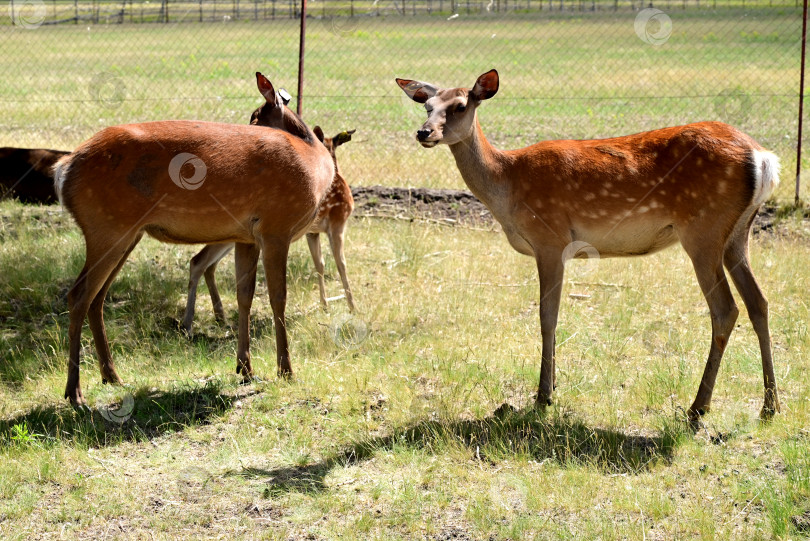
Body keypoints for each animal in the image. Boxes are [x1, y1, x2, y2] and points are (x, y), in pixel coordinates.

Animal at [55, 73, 334, 404]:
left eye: (255, 118)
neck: (314, 163)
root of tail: (64, 168)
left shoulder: (247, 236)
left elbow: (244, 296)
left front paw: (245, 368)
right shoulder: (276, 227)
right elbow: (278, 298)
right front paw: (285, 371)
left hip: (124, 232)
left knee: (96, 297)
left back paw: (111, 376)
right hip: (106, 226)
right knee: (78, 294)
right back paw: (75, 393)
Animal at [183, 129, 356, 336]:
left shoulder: (313, 232)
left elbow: (320, 264)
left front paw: (325, 305)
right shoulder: (338, 222)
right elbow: (341, 264)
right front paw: (352, 307)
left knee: (205, 263)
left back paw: (218, 317)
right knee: (200, 261)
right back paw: (192, 323)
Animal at [394, 68, 780, 422]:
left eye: (460, 105)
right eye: (427, 105)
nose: (424, 132)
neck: (507, 185)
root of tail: (764, 159)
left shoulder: (550, 240)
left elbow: (547, 316)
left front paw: (544, 396)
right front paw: (550, 388)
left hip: (703, 230)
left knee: (726, 309)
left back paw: (698, 408)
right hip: (737, 233)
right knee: (758, 302)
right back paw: (769, 405)